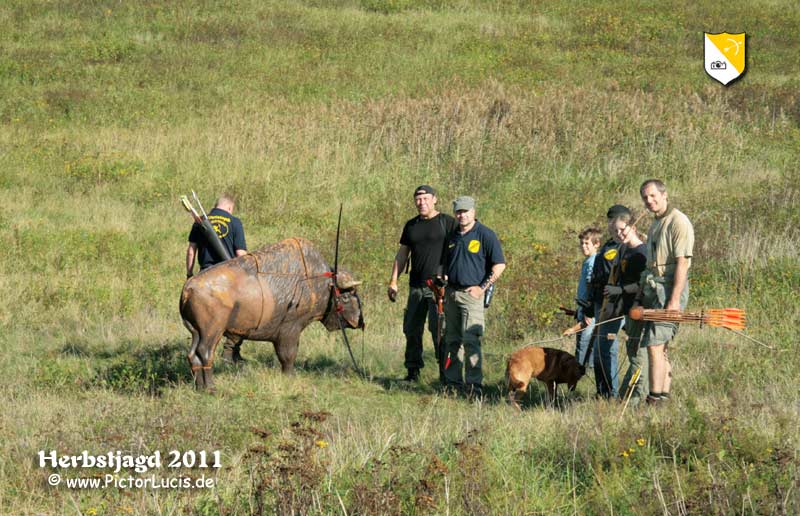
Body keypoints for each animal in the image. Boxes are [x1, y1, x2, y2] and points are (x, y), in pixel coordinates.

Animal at [180, 236, 364, 390]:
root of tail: (188, 288)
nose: (359, 321)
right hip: (212, 332)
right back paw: (211, 388)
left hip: (196, 332)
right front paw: (290, 376)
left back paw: (200, 387)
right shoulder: (289, 331)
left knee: (192, 356)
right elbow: (288, 356)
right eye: (346, 296)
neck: (316, 282)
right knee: (204, 353)